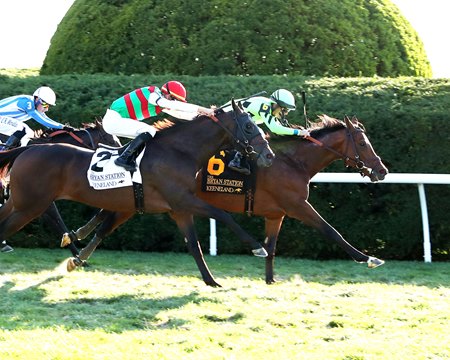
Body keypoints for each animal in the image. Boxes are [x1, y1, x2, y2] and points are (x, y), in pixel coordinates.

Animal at [64, 115, 390, 284]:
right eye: (363, 143)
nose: (382, 171)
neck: (292, 161)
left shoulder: (276, 214)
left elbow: (272, 246)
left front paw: (270, 280)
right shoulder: (297, 205)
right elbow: (331, 231)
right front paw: (368, 258)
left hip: (141, 200)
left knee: (107, 220)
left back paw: (77, 247)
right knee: (106, 221)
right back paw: (76, 246)